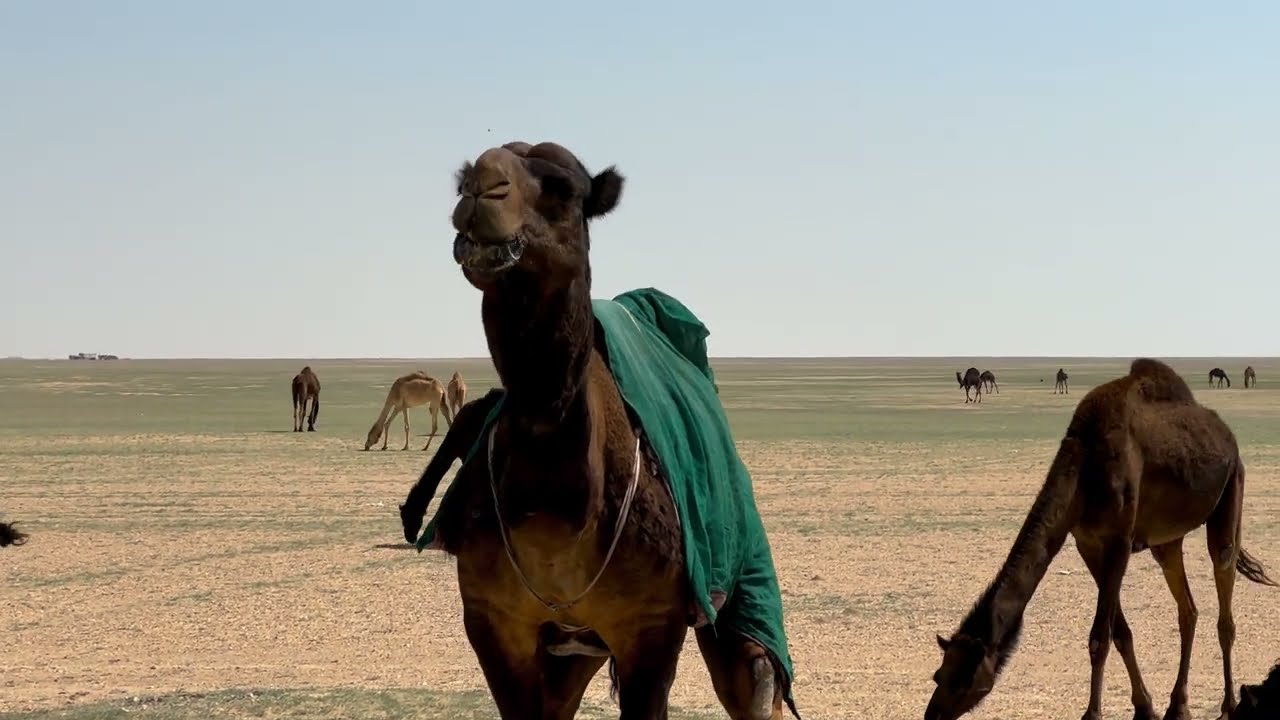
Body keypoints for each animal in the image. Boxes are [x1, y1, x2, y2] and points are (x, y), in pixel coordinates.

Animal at [433, 141, 797, 719]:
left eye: (563, 188)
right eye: (462, 180)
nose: (482, 189)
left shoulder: (650, 623)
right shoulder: (493, 620)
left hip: (740, 582)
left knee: (756, 675)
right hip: (574, 649)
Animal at [926, 358, 1276, 720]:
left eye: (966, 681)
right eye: (939, 674)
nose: (932, 714)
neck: (1085, 469)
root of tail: (1227, 435)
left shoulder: (1119, 541)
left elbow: (1099, 637)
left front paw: (1092, 713)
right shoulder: (1088, 544)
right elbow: (1120, 632)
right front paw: (1145, 707)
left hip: (1232, 487)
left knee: (1224, 591)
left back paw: (1228, 705)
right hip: (1167, 540)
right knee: (1188, 610)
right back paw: (1178, 706)